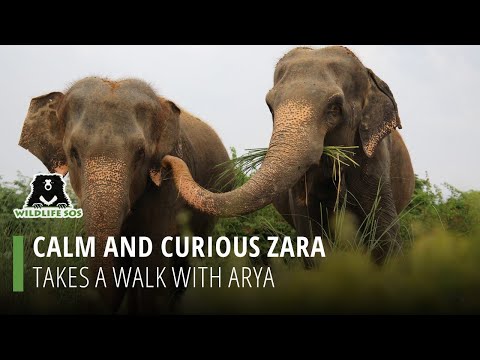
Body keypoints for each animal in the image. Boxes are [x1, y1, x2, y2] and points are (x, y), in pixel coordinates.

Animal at [162, 45, 416, 264]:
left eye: (334, 108)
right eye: (270, 106)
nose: (167, 160)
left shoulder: (374, 159)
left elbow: (384, 232)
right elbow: (313, 240)